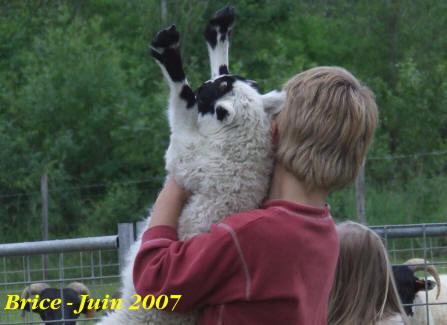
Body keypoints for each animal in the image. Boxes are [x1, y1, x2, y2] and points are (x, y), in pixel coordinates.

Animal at [96, 5, 286, 324]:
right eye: (236, 81)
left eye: (209, 94)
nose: (204, 86)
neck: (240, 147)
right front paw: (220, 28)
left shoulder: (188, 158)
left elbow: (182, 105)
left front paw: (168, 51)